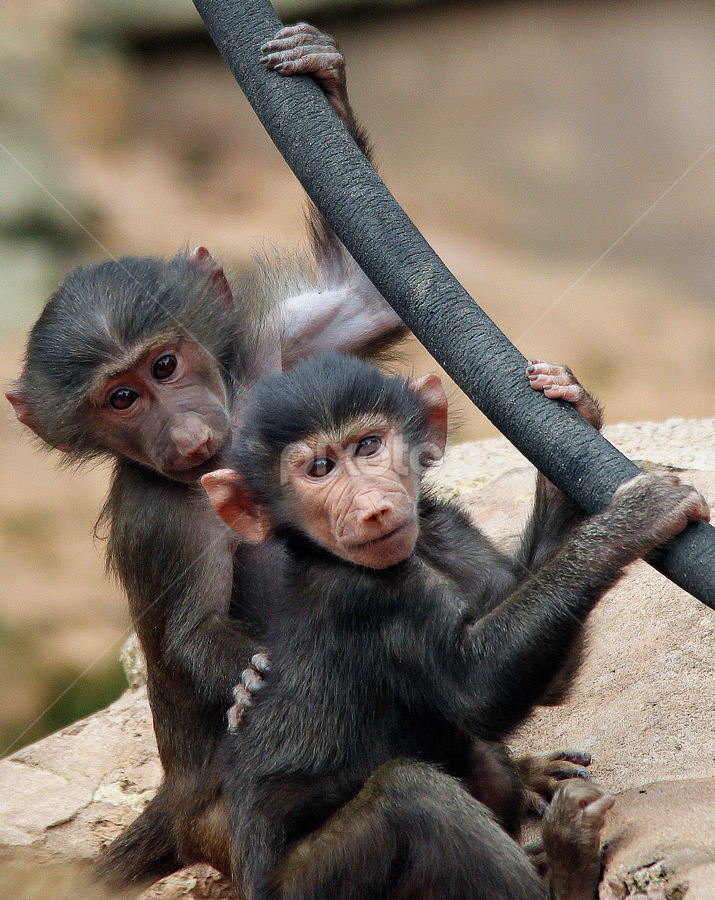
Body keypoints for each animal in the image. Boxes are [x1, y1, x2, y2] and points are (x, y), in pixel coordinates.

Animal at [5, 25, 407, 888]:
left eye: (164, 365)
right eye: (121, 399)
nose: (186, 436)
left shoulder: (279, 356)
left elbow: (372, 293)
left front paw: (319, 71)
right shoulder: (160, 514)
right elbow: (192, 634)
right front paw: (255, 675)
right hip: (215, 827)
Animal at [202, 352, 709, 900]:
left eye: (368, 445)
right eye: (319, 469)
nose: (371, 506)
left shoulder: (450, 532)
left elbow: (537, 666)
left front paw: (570, 402)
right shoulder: (362, 597)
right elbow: (476, 688)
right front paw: (628, 523)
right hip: (310, 887)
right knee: (412, 796)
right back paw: (567, 865)